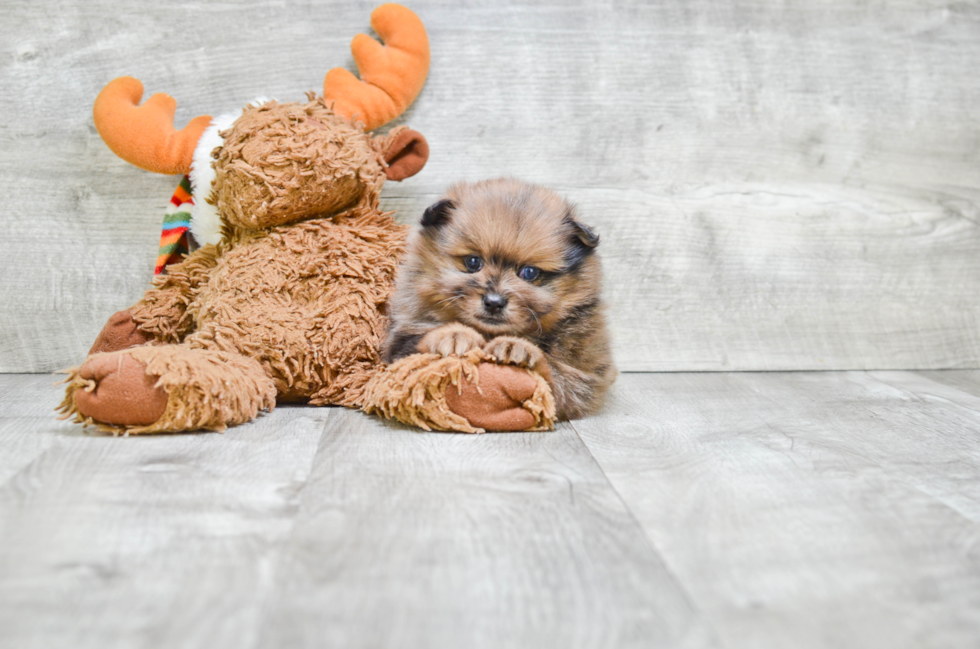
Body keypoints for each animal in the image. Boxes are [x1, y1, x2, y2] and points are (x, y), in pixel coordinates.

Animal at [382, 178, 612, 420]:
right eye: (473, 262)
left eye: (529, 273)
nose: (494, 302)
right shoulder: (398, 340)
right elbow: (419, 341)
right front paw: (454, 335)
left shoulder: (585, 377)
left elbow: (554, 373)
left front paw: (516, 347)